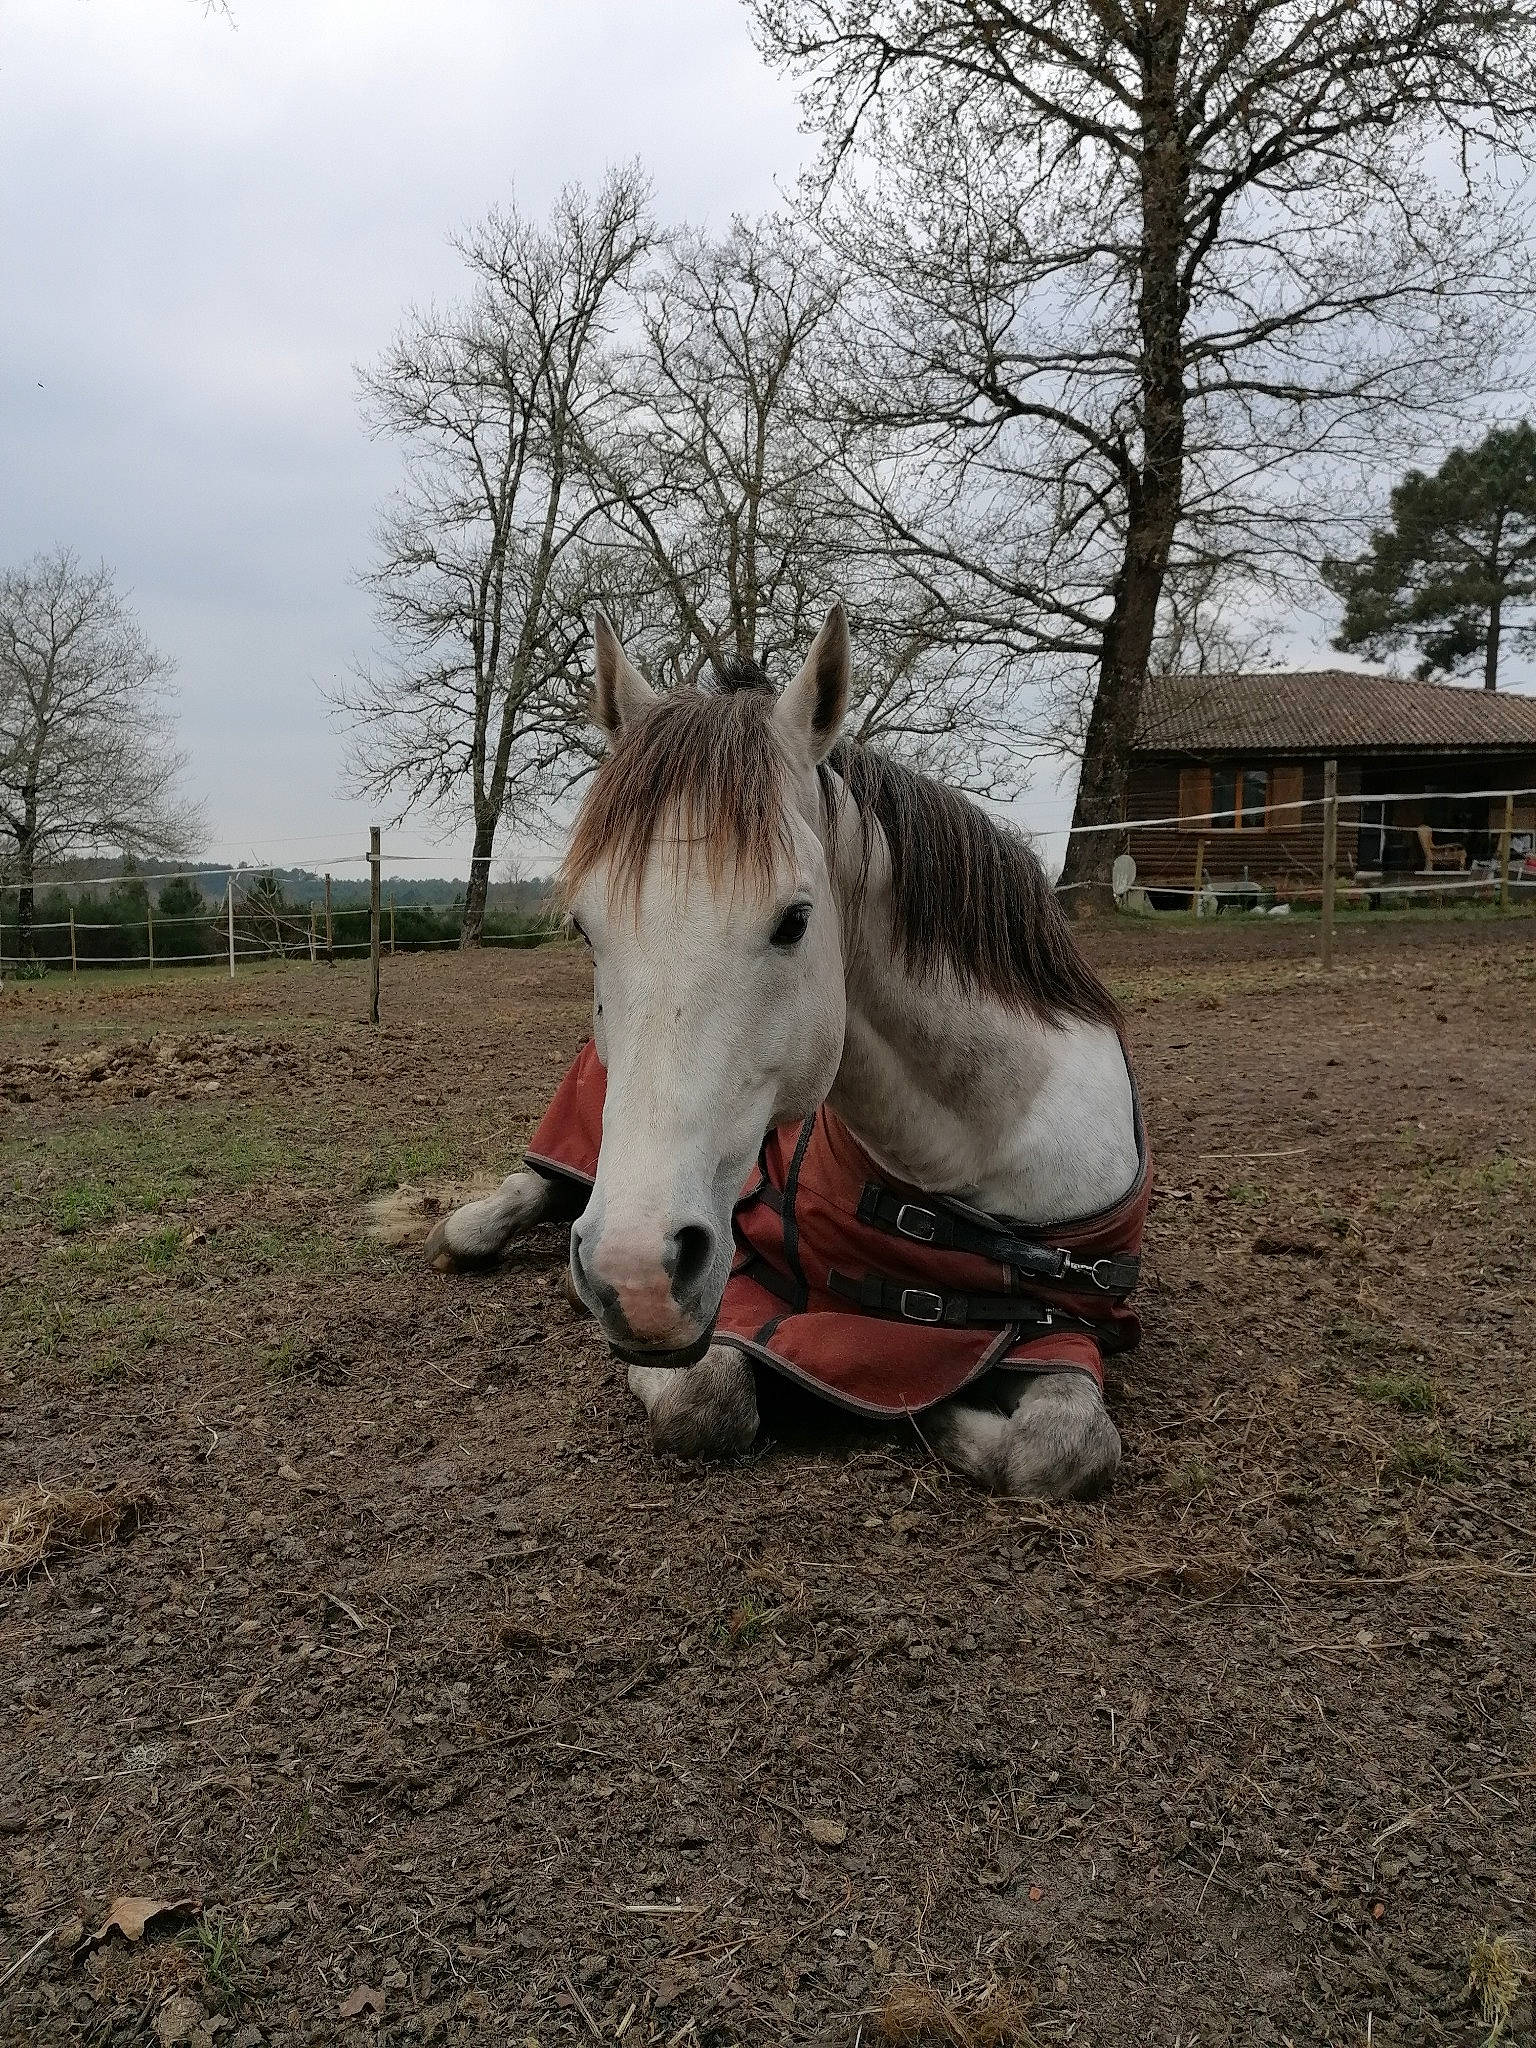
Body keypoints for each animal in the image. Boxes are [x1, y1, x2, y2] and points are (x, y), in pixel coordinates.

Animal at [425, 606, 1146, 1498]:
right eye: (585, 929)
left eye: (795, 921)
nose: (632, 1271)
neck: (985, 1139)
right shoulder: (740, 1293)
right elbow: (706, 1397)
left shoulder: (1065, 1325)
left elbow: (1064, 1446)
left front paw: (950, 1415)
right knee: (522, 1196)